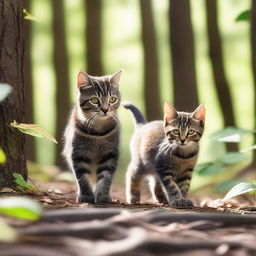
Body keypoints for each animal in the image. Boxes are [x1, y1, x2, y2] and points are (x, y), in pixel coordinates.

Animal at [62, 70, 121, 204]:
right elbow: (82, 178)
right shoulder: (78, 153)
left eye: (112, 99)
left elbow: (106, 177)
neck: (97, 133)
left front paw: (102, 195)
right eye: (94, 100)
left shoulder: (110, 153)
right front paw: (86, 195)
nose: (105, 109)